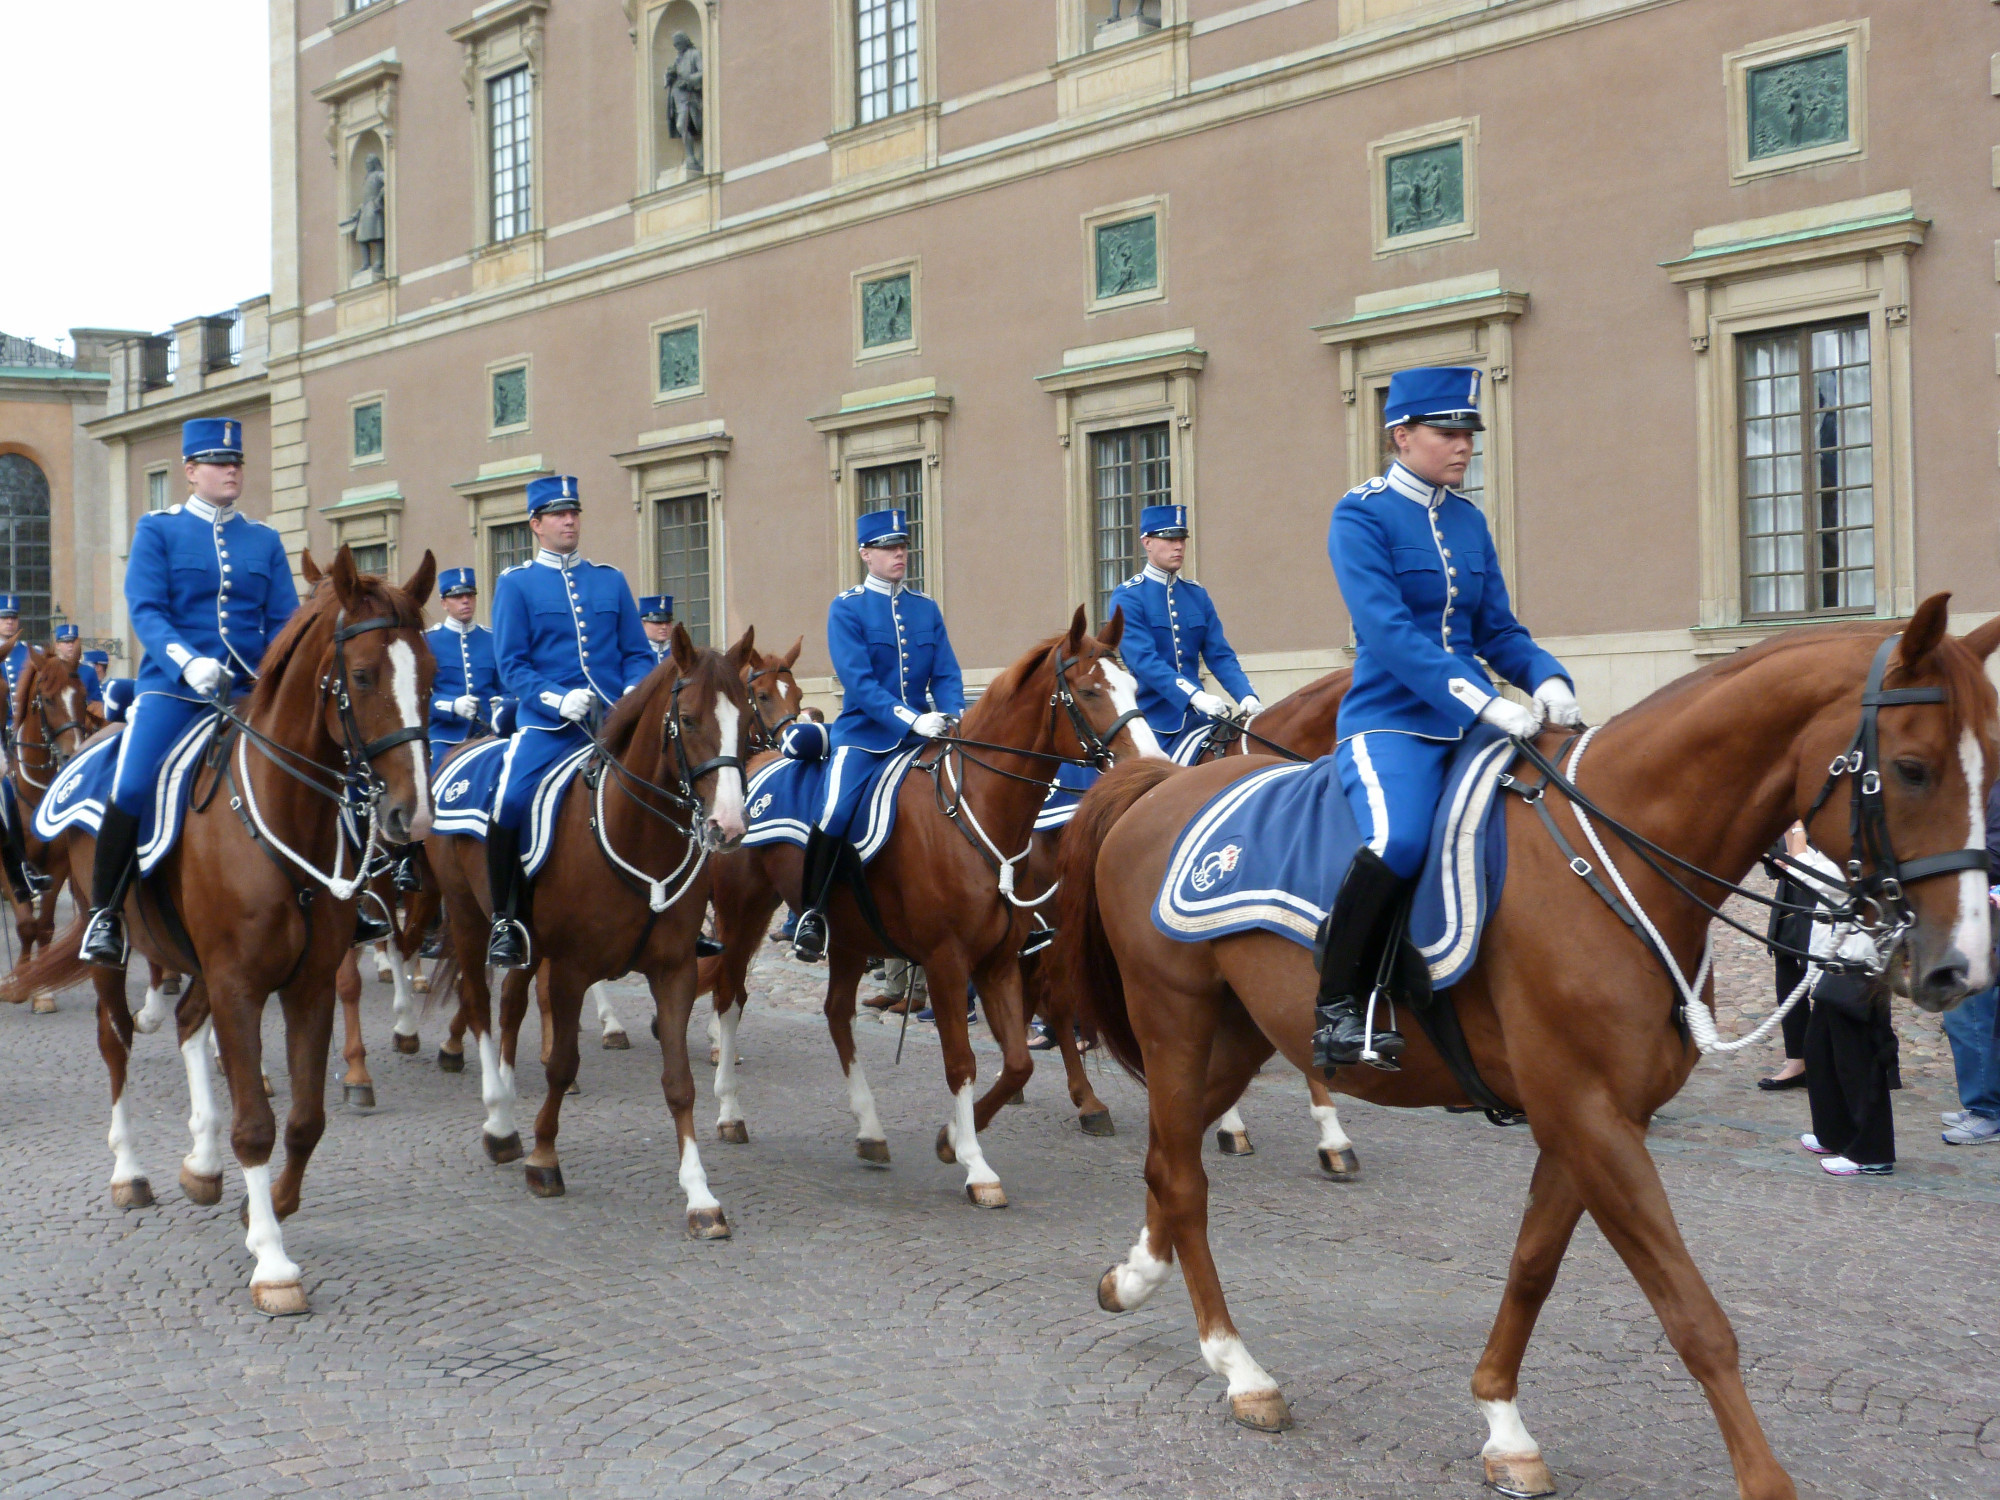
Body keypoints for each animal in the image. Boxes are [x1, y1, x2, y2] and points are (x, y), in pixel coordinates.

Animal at [0, 552, 438, 1312]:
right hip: (109, 942)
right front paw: (273, 1260)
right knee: (116, 1044)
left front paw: (266, 1207)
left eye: (434, 674)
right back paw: (130, 1172)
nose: (410, 817)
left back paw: (202, 1162)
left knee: (186, 1024)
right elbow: (256, 1123)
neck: (284, 818)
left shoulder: (306, 984)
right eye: (361, 676)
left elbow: (304, 1118)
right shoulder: (239, 982)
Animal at [426, 624, 752, 1232]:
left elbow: (679, 1083)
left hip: (525, 942)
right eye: (689, 718)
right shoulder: (572, 969)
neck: (637, 833)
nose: (729, 826)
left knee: (511, 1005)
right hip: (466, 917)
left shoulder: (673, 970)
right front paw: (543, 1160)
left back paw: (508, 1098)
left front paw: (699, 1195)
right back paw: (499, 1123)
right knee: (480, 1005)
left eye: (745, 715)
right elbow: (561, 1064)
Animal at [700, 604, 1152, 1208]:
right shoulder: (946, 961)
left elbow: (1017, 1063)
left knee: (837, 1014)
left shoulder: (998, 961)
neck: (974, 810)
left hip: (848, 935)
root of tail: (753, 766)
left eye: (1134, 686)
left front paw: (952, 1138)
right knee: (730, 996)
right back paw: (729, 1111)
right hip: (743, 913)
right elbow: (961, 1061)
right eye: (1089, 690)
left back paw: (870, 1130)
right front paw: (976, 1165)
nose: (1150, 760)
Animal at [1056, 592, 1992, 1496]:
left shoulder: (1592, 1118)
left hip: (1241, 1035)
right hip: (1177, 1020)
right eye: (1912, 768)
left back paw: (1133, 1279)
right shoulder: (1589, 1115)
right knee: (1182, 1176)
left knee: (1166, 1156)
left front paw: (1503, 1425)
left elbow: (1533, 1265)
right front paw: (1764, 1481)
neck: (1614, 859)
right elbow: (1693, 1315)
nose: (1961, 967)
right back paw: (1239, 1367)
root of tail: (1154, 784)